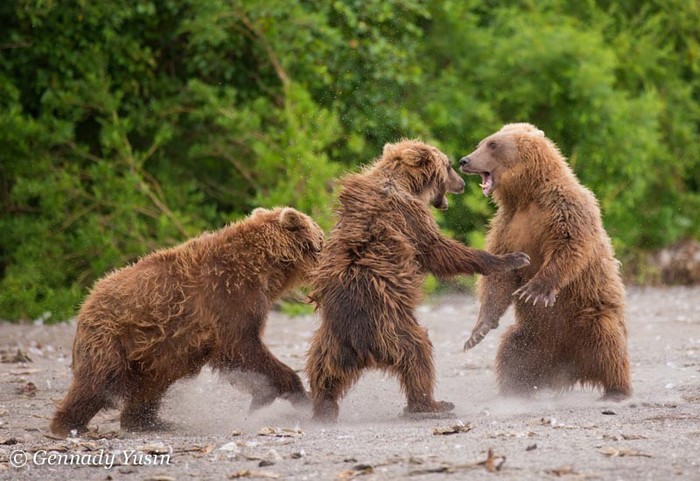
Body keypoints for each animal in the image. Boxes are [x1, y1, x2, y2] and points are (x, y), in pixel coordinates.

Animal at [50, 206, 326, 436]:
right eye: (321, 238)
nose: (327, 243)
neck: (264, 267)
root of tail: (86, 301)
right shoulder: (226, 296)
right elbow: (243, 348)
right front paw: (297, 391)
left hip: (153, 359)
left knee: (149, 389)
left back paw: (151, 422)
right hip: (111, 338)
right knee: (96, 383)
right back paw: (68, 425)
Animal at [306, 139, 532, 420]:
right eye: (448, 166)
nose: (461, 182)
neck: (405, 183)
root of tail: (363, 352)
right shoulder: (409, 216)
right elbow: (439, 251)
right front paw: (512, 258)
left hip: (333, 339)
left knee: (322, 367)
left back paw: (324, 406)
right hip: (389, 323)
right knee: (417, 352)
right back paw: (432, 404)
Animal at [460, 122, 636, 400]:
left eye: (492, 144)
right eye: (483, 142)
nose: (464, 160)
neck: (527, 195)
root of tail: (568, 370)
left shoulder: (563, 208)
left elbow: (569, 245)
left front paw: (534, 289)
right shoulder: (507, 226)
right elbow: (500, 275)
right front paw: (478, 332)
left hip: (589, 315)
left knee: (608, 343)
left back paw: (616, 390)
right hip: (533, 336)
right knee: (512, 351)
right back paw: (514, 389)